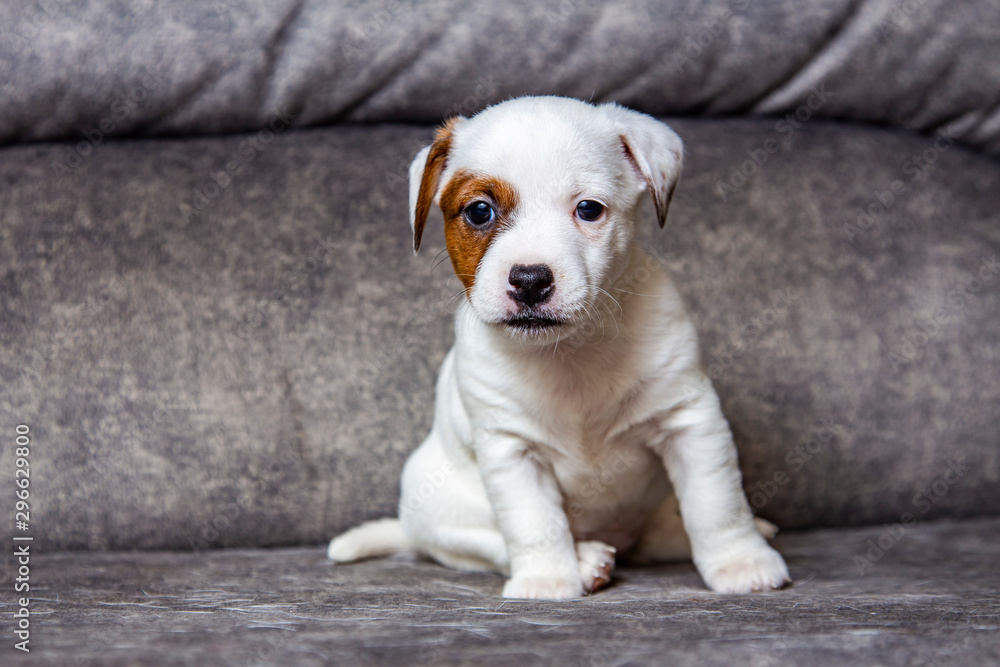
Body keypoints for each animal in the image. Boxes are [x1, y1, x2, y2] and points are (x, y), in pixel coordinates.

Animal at [332, 95, 792, 600]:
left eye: (588, 209)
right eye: (479, 212)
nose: (530, 279)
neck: (571, 352)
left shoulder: (690, 421)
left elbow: (716, 504)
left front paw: (740, 561)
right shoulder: (512, 451)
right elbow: (533, 522)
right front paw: (548, 580)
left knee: (663, 532)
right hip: (437, 508)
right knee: (488, 543)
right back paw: (586, 560)